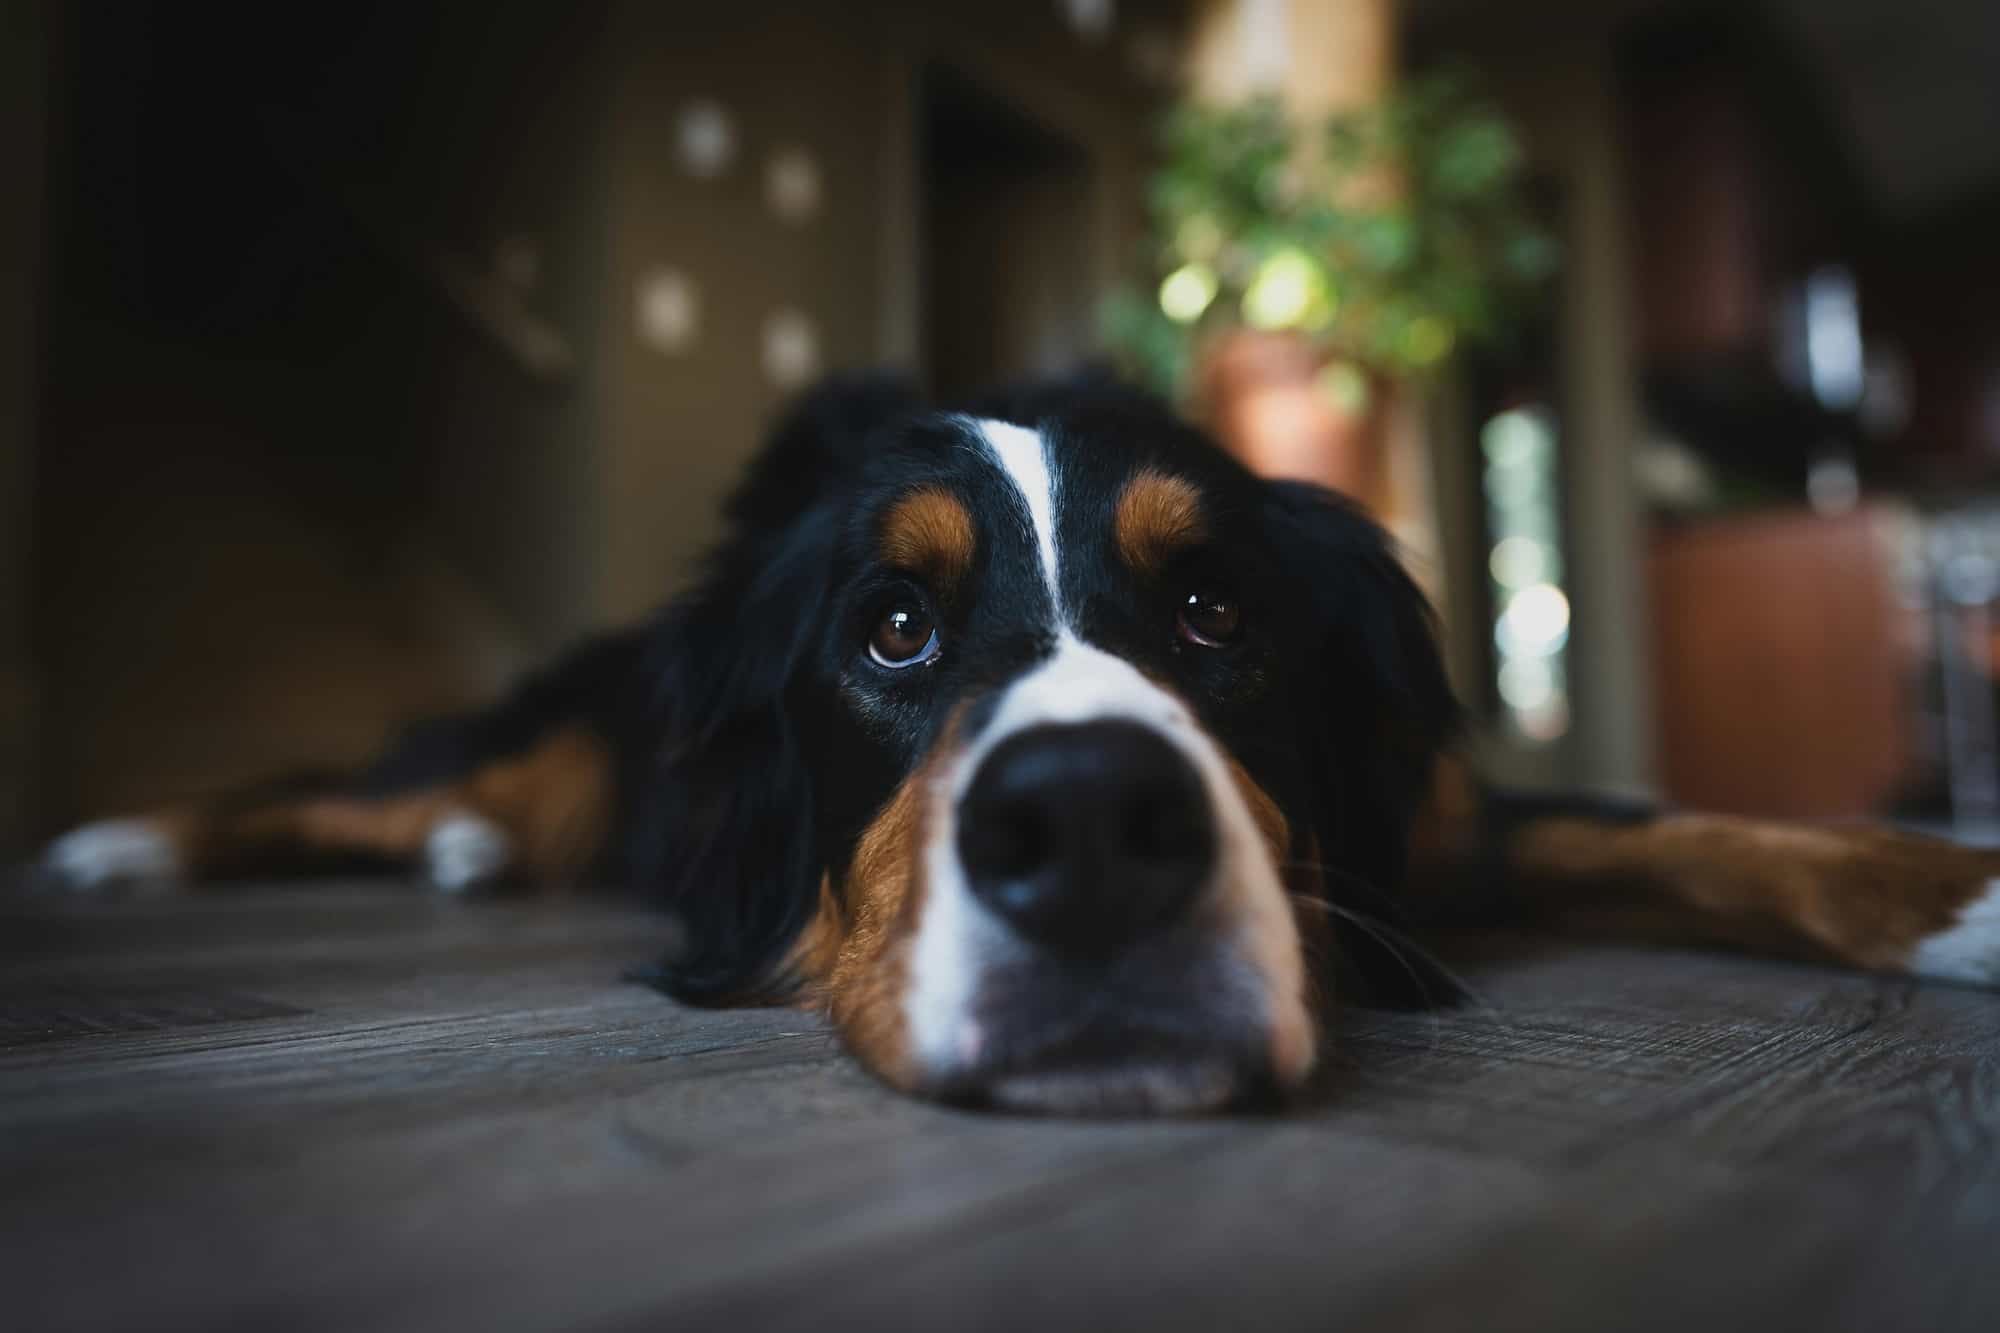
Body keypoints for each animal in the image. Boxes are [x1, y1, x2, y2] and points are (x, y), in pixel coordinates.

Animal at [39, 370, 2000, 1112]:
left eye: (1214, 611)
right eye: (892, 630)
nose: (1092, 829)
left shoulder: (1449, 815)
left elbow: (1703, 829)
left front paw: (1962, 894)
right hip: (552, 749)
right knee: (366, 789)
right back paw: (125, 843)